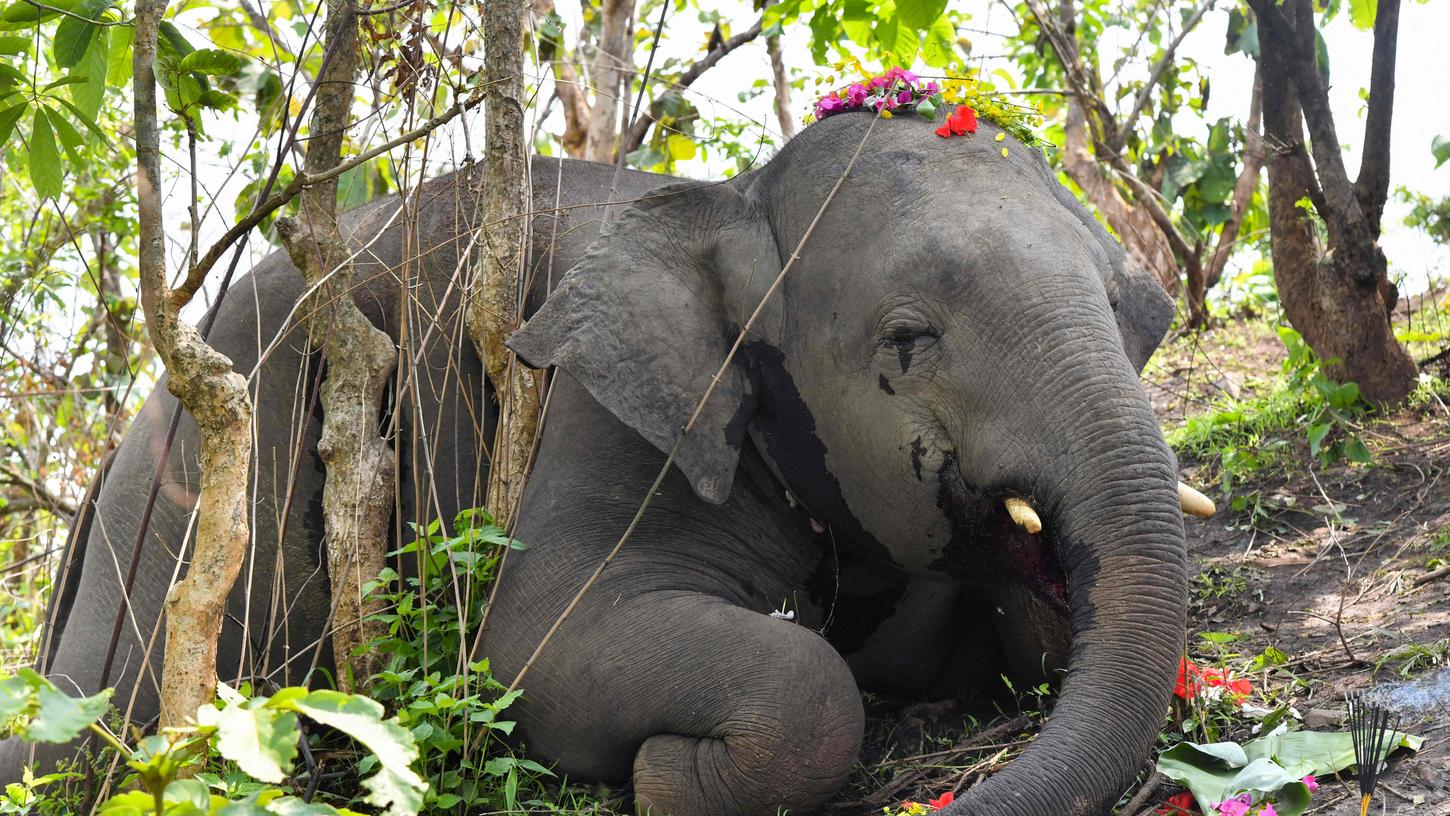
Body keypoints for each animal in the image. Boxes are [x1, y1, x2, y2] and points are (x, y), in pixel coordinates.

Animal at [0, 110, 1194, 816]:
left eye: (1131, 309)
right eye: (910, 340)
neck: (731, 196)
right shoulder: (599, 413)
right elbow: (540, 644)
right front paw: (666, 775)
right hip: (193, 486)